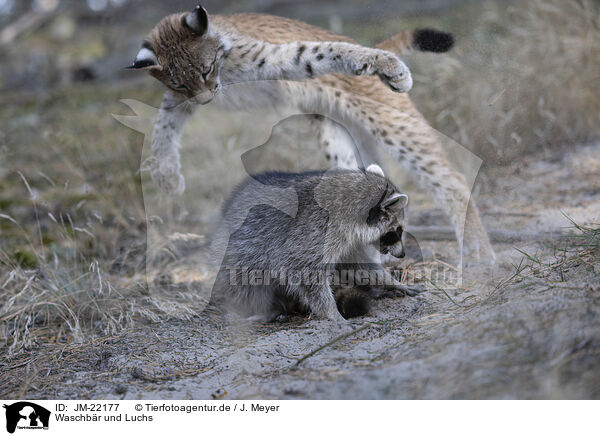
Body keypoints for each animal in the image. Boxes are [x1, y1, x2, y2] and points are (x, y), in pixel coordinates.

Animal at [213, 165, 420, 322]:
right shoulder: (315, 231)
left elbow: (357, 265)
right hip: (235, 257)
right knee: (248, 281)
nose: (402, 254)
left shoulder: (346, 241)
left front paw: (390, 282)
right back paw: (264, 311)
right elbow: (301, 270)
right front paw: (332, 312)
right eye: (397, 231)